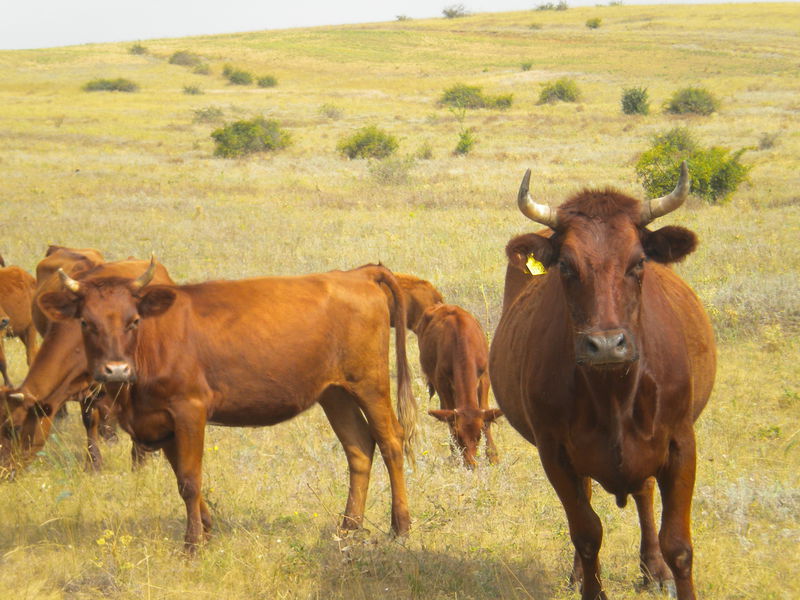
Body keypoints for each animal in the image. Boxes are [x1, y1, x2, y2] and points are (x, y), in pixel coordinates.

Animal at [36, 260, 418, 552]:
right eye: (86, 322)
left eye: (133, 321)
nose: (114, 369)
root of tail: (357, 273)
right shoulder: (163, 420)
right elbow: (182, 477)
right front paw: (206, 529)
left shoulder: (189, 409)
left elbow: (190, 480)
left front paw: (192, 545)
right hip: (334, 392)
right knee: (358, 448)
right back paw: (348, 527)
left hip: (369, 383)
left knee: (390, 442)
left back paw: (400, 526)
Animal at [490, 164, 716, 600]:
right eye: (565, 266)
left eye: (639, 262)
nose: (607, 345)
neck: (613, 393)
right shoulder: (554, 453)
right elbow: (586, 532)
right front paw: (589, 584)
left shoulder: (682, 443)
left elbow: (679, 545)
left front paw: (667, 569)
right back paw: (582, 573)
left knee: (644, 494)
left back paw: (653, 569)